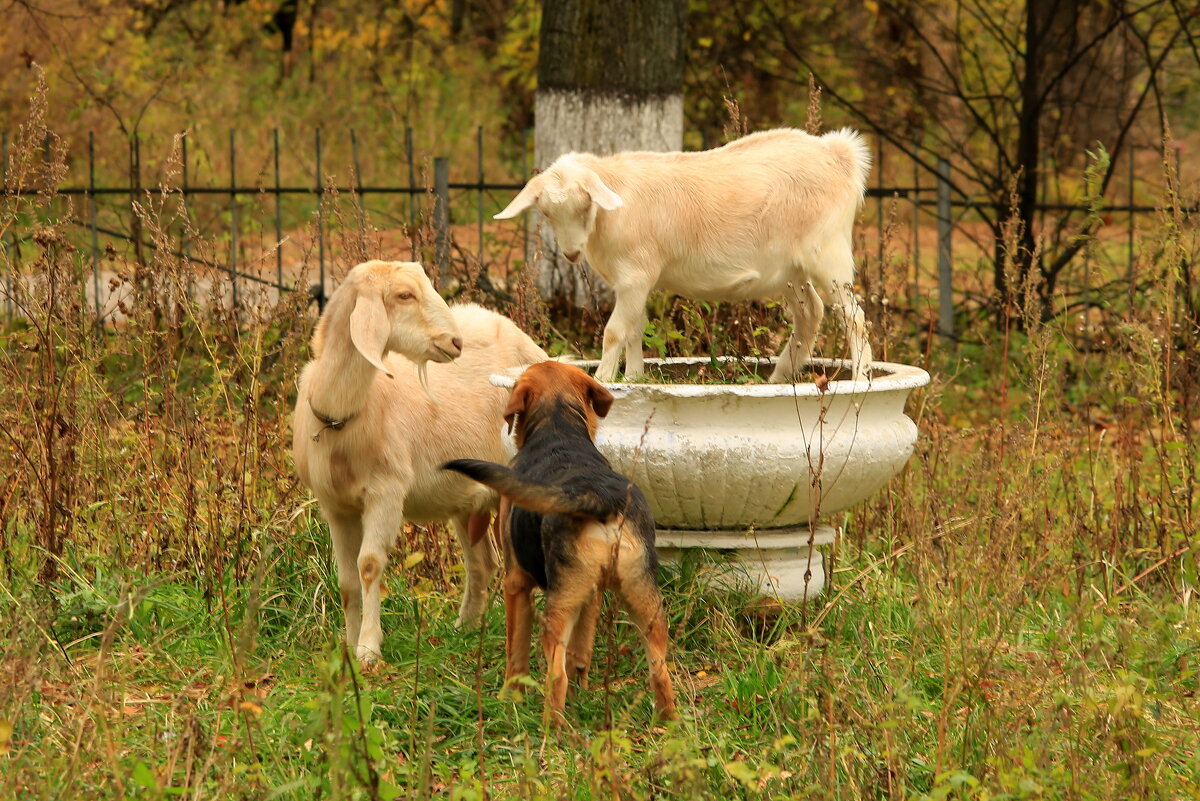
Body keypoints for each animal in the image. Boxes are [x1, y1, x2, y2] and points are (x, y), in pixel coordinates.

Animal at [295, 260, 549, 661]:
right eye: (404, 295)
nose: (456, 342)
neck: (344, 415)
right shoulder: (334, 505)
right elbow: (347, 579)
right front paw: (349, 645)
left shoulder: (386, 491)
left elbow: (369, 566)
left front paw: (369, 648)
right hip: (468, 497)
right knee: (482, 564)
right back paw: (464, 629)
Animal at [446, 359, 681, 724]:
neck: (558, 428)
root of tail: (600, 498)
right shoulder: (592, 593)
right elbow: (581, 650)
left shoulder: (516, 584)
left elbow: (516, 651)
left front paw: (509, 698)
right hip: (644, 599)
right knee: (659, 670)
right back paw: (667, 724)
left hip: (560, 606)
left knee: (556, 675)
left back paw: (550, 729)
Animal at [492, 126, 878, 383]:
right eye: (546, 212)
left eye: (585, 204)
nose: (571, 253)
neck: (610, 212)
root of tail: (839, 154)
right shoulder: (634, 282)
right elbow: (635, 329)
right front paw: (633, 379)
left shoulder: (635, 276)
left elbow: (615, 331)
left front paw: (602, 379)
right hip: (790, 270)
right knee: (810, 312)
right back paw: (779, 377)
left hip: (828, 253)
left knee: (854, 317)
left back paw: (859, 379)